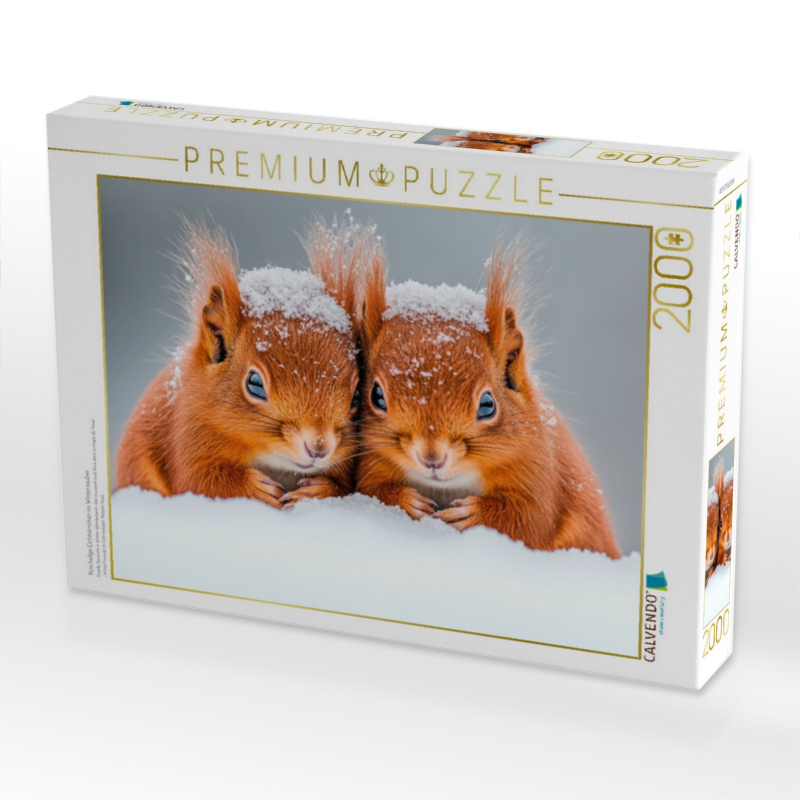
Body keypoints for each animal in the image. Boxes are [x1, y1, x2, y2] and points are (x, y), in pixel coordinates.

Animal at [115, 218, 364, 508]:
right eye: (254, 384)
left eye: (357, 395)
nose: (319, 447)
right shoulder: (188, 434)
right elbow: (199, 481)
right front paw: (255, 489)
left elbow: (343, 488)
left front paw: (317, 491)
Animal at [353, 232, 622, 558]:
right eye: (376, 396)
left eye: (487, 405)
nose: (432, 458)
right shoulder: (370, 462)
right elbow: (371, 490)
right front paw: (407, 500)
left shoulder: (540, 470)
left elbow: (530, 519)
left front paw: (472, 514)